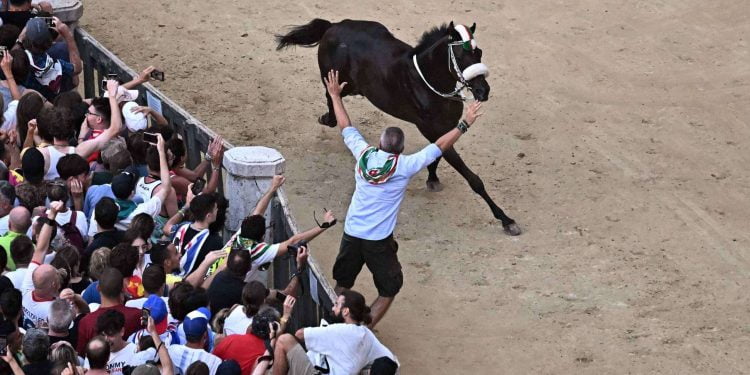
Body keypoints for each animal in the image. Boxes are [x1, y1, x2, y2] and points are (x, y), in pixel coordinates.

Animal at [276, 19, 524, 236]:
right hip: (339, 79)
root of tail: (333, 26)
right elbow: (471, 177)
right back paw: (326, 117)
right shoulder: (430, 127)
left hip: (357, 86)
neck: (428, 82)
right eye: (462, 56)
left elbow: (438, 153)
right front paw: (507, 220)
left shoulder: (445, 127)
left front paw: (432, 178)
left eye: (478, 52)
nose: (483, 91)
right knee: (331, 96)